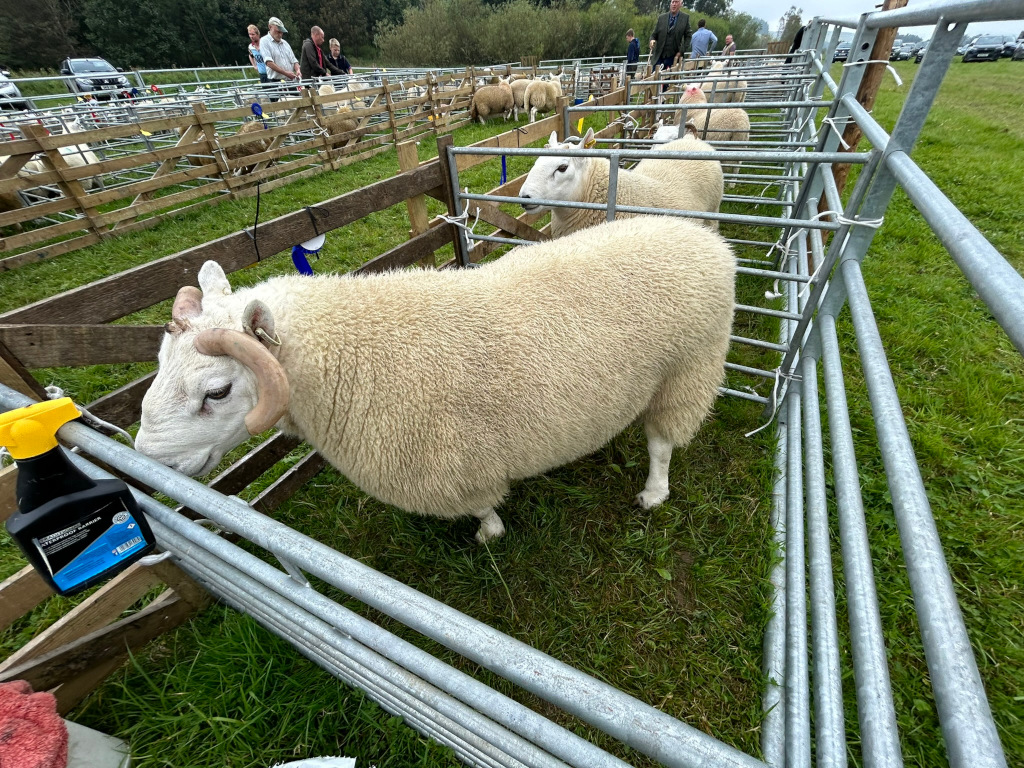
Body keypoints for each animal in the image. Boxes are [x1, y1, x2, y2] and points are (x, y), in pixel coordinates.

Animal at [134, 215, 736, 543]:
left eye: (217, 392)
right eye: (160, 362)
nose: (147, 462)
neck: (348, 351)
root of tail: (704, 239)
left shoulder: (449, 465)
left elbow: (480, 506)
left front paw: (489, 532)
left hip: (689, 369)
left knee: (662, 442)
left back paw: (653, 492)